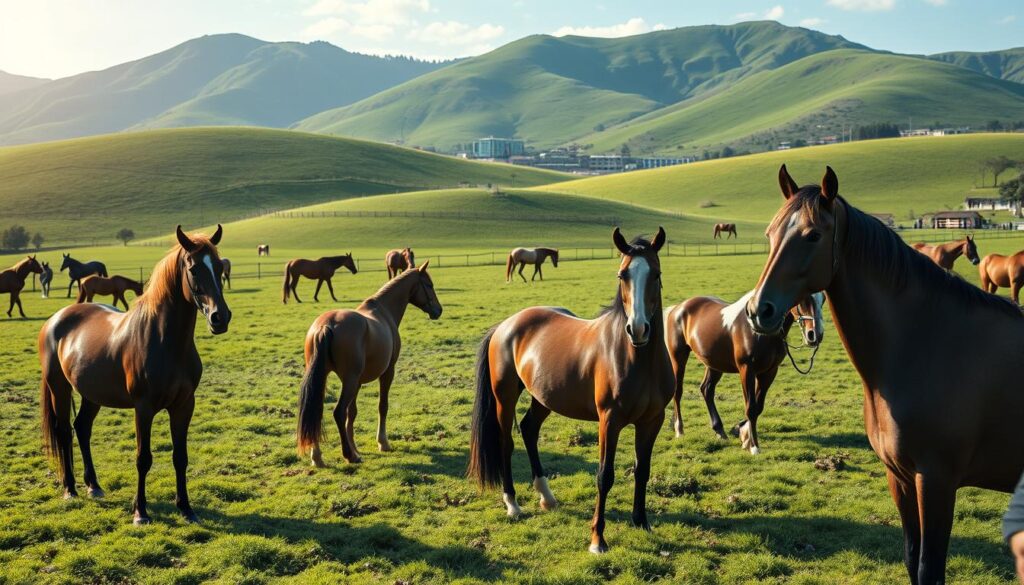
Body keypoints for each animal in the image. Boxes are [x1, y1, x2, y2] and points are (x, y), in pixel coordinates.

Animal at [38, 225, 231, 524]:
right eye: (194, 269)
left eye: (220, 266)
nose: (220, 318)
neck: (166, 342)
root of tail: (56, 319)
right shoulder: (144, 408)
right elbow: (143, 458)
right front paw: (140, 512)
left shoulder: (184, 405)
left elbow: (181, 457)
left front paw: (186, 509)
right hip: (59, 388)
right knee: (63, 432)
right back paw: (70, 489)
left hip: (92, 394)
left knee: (82, 427)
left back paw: (94, 486)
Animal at [294, 261, 442, 467]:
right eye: (429, 285)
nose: (438, 310)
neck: (384, 311)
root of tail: (326, 325)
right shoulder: (387, 372)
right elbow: (382, 406)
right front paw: (382, 442)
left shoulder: (358, 382)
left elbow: (353, 413)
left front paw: (355, 446)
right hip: (349, 380)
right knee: (338, 412)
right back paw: (349, 455)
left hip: (324, 377)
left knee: (318, 411)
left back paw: (317, 457)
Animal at [468, 227, 675, 553]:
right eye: (622, 275)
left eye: (655, 273)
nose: (638, 328)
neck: (635, 358)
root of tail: (505, 325)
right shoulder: (609, 421)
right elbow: (605, 476)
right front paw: (597, 539)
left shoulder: (652, 420)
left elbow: (642, 469)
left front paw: (641, 522)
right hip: (505, 397)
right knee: (506, 442)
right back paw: (512, 503)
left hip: (543, 397)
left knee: (529, 429)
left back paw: (547, 497)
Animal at [663, 290, 823, 450]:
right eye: (802, 300)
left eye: (823, 300)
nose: (814, 335)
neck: (759, 331)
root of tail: (677, 308)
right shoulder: (747, 370)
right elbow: (751, 408)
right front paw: (753, 445)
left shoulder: (769, 372)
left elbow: (758, 407)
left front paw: (743, 433)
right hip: (678, 357)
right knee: (678, 391)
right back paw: (679, 430)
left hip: (714, 364)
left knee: (706, 389)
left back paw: (719, 430)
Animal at [745, 165, 1024, 585]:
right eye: (770, 233)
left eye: (813, 235)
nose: (759, 310)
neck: (925, 342)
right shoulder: (901, 479)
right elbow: (912, 559)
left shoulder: (936, 482)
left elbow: (929, 568)